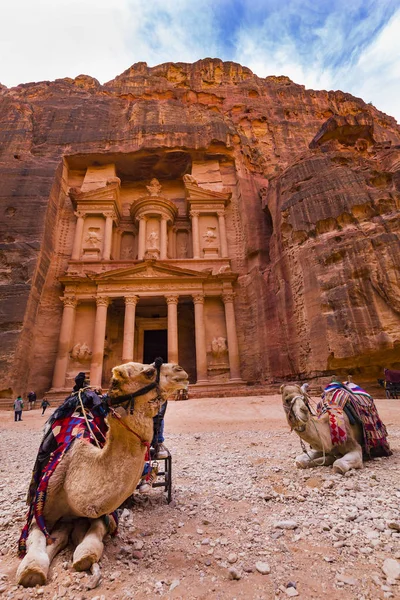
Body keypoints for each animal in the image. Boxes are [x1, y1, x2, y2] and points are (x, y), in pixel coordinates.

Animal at [17, 360, 189, 584]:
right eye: (149, 372)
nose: (180, 370)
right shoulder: (41, 508)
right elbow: (36, 540)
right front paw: (32, 568)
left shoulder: (103, 515)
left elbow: (92, 541)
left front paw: (83, 554)